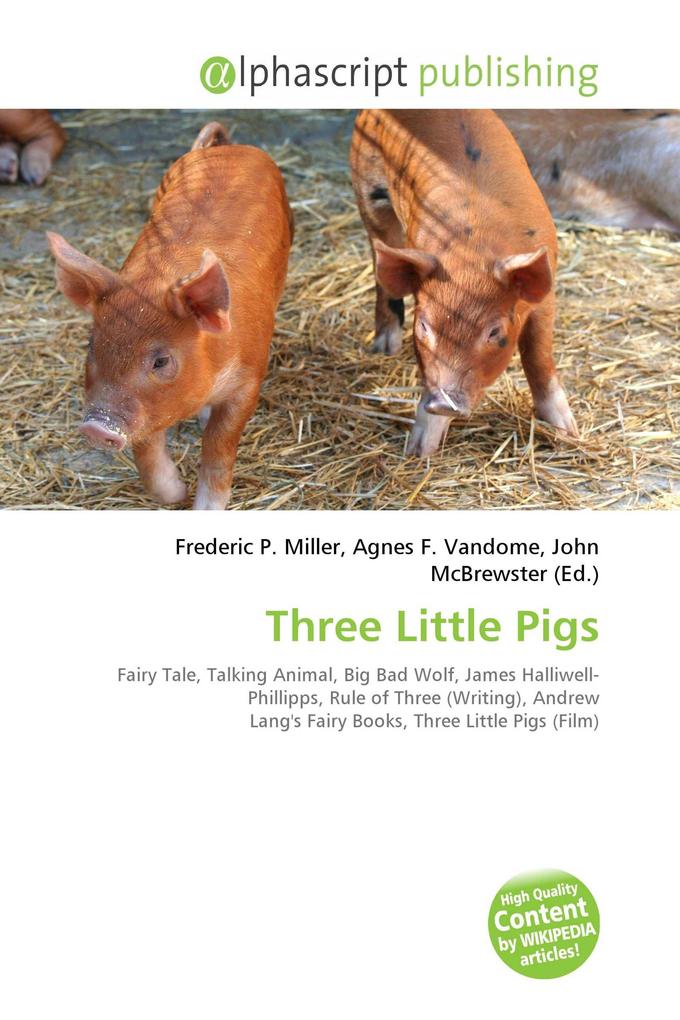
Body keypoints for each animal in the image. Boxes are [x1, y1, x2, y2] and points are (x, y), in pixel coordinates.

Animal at [47, 121, 293, 510]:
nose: (96, 426)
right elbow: (147, 451)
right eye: (91, 347)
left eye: (161, 361)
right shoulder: (149, 408)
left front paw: (204, 508)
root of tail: (228, 147)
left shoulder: (249, 378)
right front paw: (176, 495)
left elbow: (219, 444)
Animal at [350, 109, 577, 457]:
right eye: (423, 326)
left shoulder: (545, 294)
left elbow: (538, 357)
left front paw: (568, 432)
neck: (473, 250)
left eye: (495, 332)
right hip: (369, 191)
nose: (444, 403)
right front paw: (418, 451)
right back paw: (384, 349)